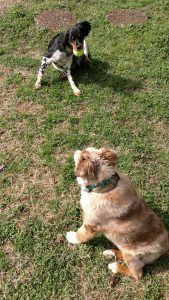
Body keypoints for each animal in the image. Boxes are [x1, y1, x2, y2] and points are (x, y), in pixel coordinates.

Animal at [66, 147, 169, 278]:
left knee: (137, 274)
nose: (75, 151)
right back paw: (111, 252)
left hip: (132, 256)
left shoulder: (91, 224)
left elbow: (81, 235)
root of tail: (165, 247)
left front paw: (71, 237)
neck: (103, 187)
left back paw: (114, 267)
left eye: (81, 157)